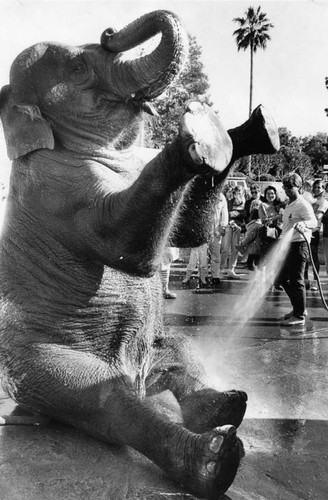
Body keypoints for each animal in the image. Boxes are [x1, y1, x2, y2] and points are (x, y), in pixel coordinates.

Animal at [0, 8, 280, 500]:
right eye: (78, 69)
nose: (110, 29)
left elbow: (189, 231)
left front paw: (237, 130)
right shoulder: (51, 190)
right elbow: (126, 247)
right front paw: (197, 133)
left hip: (152, 350)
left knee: (179, 351)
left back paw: (226, 405)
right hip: (34, 365)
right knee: (106, 400)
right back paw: (214, 460)